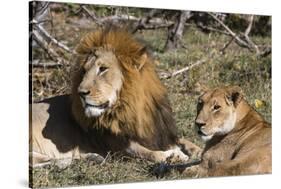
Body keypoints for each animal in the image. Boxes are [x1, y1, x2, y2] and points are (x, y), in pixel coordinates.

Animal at [30, 27, 199, 167]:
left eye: (103, 69)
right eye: (84, 71)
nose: (81, 93)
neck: (133, 108)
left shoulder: (160, 133)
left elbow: (184, 141)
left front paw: (197, 150)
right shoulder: (119, 146)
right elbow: (150, 153)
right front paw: (174, 155)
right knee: (40, 161)